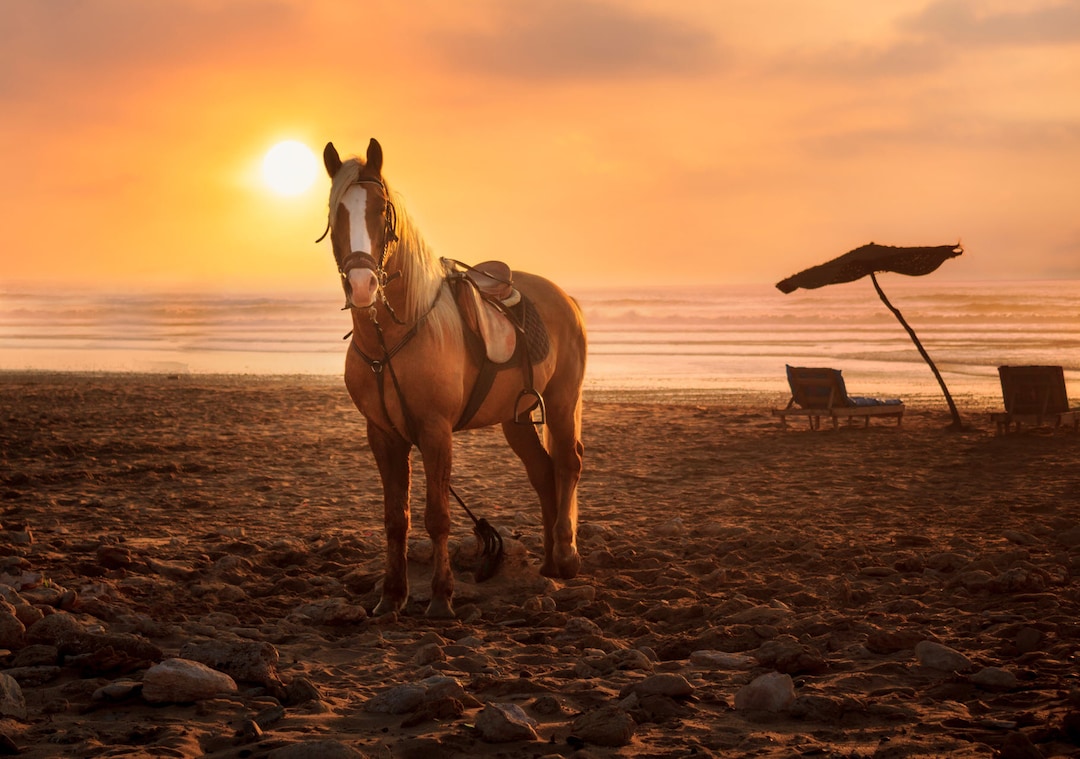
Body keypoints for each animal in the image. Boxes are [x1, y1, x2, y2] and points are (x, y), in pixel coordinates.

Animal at [321, 138, 587, 618]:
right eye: (336, 215)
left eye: (382, 211)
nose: (363, 285)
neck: (395, 338)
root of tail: (565, 298)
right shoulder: (383, 435)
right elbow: (396, 519)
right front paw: (391, 597)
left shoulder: (435, 432)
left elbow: (437, 517)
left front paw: (441, 598)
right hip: (516, 417)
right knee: (543, 471)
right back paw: (549, 563)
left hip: (561, 401)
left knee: (568, 464)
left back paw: (566, 557)